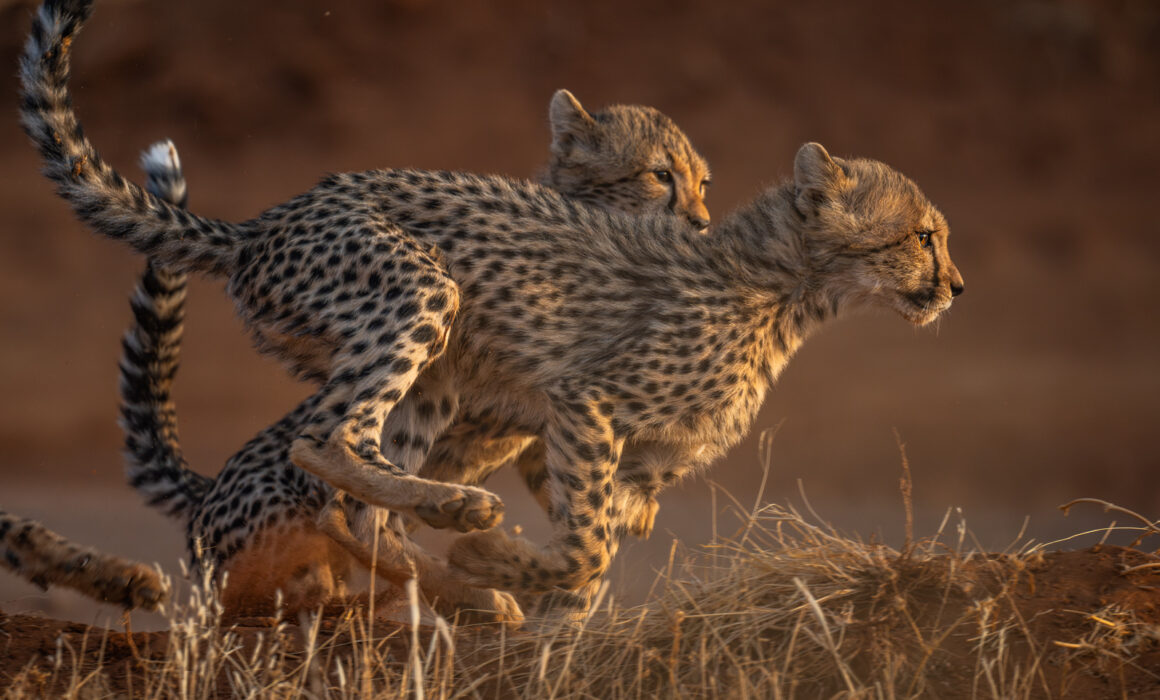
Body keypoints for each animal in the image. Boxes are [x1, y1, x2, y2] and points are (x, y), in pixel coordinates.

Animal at [21, 0, 963, 616]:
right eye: (924, 236)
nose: (957, 287)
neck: (788, 286)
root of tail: (263, 222)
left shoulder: (625, 456)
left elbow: (600, 543)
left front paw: (525, 598)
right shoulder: (587, 404)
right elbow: (586, 547)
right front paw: (499, 563)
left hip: (430, 381)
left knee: (358, 499)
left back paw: (444, 563)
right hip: (420, 291)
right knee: (325, 442)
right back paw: (455, 528)